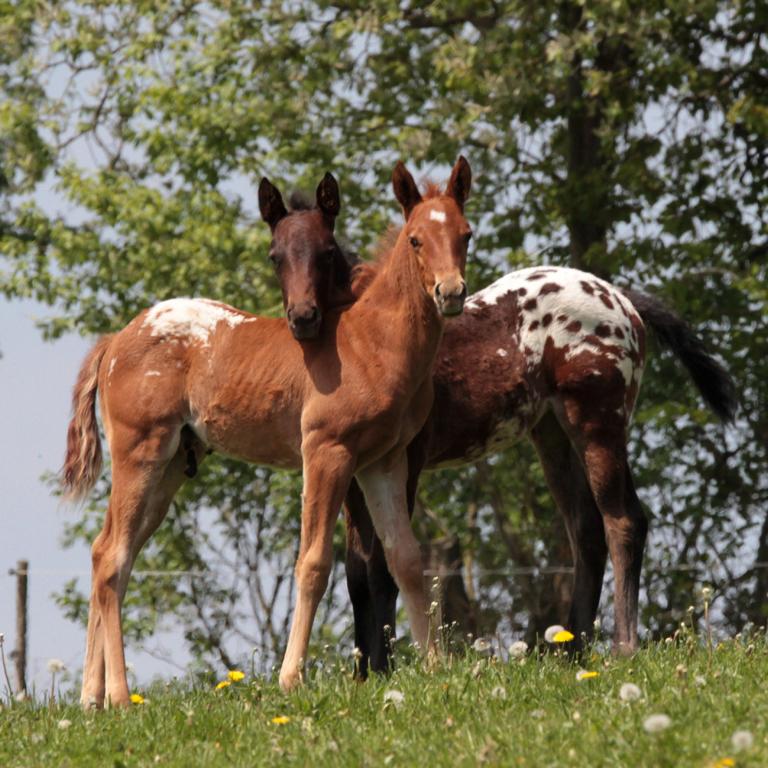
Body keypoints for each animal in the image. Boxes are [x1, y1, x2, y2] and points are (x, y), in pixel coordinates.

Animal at [64, 158, 474, 708]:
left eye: (465, 234)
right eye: (414, 240)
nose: (450, 293)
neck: (373, 340)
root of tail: (115, 340)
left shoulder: (385, 461)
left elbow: (405, 558)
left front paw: (434, 667)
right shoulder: (326, 451)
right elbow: (314, 562)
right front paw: (291, 677)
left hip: (170, 467)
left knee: (111, 551)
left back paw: (91, 698)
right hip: (139, 451)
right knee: (111, 558)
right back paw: (121, 696)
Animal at [344, 268, 736, 676]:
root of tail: (620, 297)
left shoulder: (401, 466)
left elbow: (385, 565)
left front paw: (382, 668)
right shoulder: (353, 477)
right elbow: (358, 572)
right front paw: (364, 673)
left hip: (598, 427)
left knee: (624, 522)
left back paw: (622, 648)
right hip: (553, 435)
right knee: (586, 532)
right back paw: (572, 650)